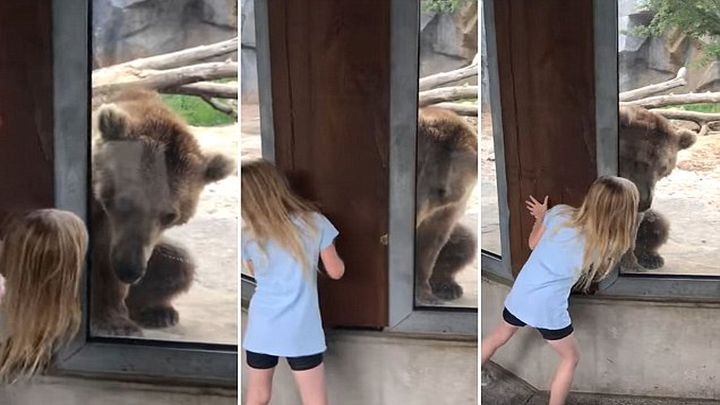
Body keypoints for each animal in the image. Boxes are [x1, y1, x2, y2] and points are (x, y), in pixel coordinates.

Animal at [89, 88, 236, 334]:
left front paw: (117, 319)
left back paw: (158, 312)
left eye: (170, 216)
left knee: (181, 263)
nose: (131, 270)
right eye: (125, 200)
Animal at [416, 107, 478, 304]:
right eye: (415, 169)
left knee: (465, 242)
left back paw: (448, 287)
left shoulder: (447, 210)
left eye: (441, 190)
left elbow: (430, 244)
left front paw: (424, 293)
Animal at [620, 104, 696, 270]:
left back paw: (651, 258)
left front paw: (630, 263)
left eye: (664, 169)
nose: (644, 202)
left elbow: (634, 223)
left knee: (658, 223)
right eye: (638, 162)